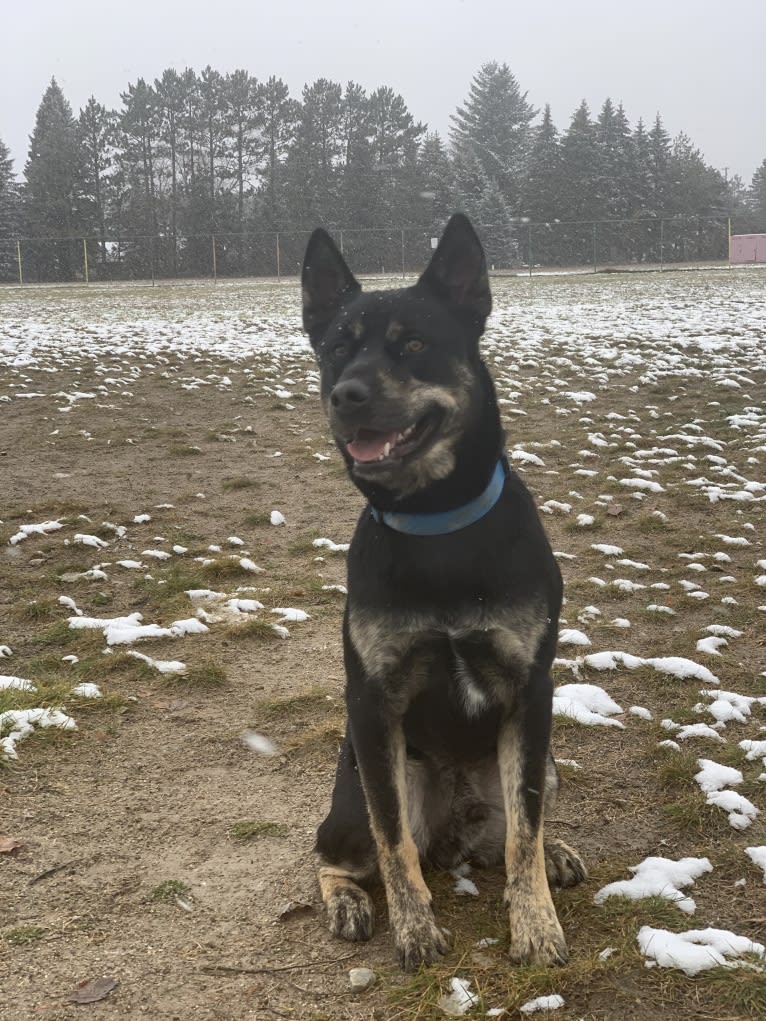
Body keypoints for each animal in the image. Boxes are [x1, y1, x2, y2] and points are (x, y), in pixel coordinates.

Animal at [302, 217, 588, 971]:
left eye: (413, 345)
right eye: (336, 348)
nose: (347, 394)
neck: (437, 523)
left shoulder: (531, 691)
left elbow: (524, 832)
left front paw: (535, 925)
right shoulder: (372, 705)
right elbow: (394, 842)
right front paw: (414, 929)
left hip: (544, 760)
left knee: (517, 831)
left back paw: (555, 853)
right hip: (357, 788)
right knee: (336, 852)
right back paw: (348, 901)